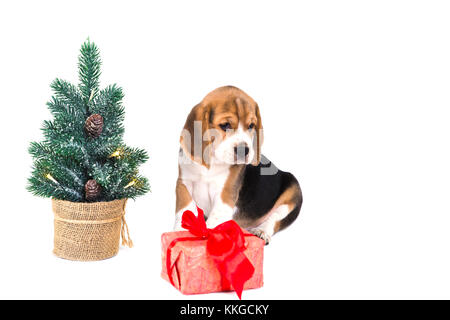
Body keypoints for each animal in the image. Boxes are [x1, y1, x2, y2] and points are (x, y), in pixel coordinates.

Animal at [173, 86, 302, 244]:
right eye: (225, 125)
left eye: (251, 126)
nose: (243, 150)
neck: (212, 162)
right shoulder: (183, 184)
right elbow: (184, 210)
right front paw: (179, 232)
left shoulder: (225, 193)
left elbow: (214, 221)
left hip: (293, 191)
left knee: (275, 218)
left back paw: (262, 231)